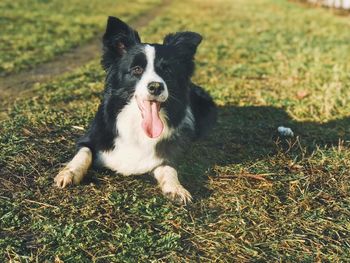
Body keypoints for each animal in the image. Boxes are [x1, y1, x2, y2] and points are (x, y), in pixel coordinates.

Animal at [54, 17, 216, 206]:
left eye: (167, 70)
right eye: (137, 69)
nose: (156, 87)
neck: (136, 124)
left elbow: (169, 167)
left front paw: (176, 188)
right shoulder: (91, 137)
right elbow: (83, 152)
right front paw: (69, 172)